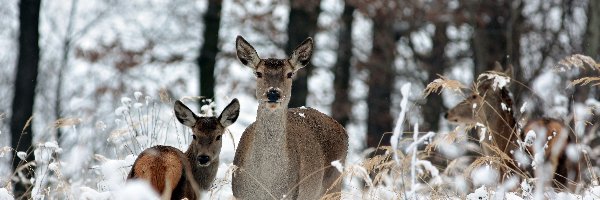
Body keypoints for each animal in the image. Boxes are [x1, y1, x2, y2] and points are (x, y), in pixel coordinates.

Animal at [232, 36, 350, 200]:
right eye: (258, 73)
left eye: (289, 74)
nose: (273, 93)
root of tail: (343, 129)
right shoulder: (238, 194)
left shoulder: (290, 194)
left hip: (333, 186)